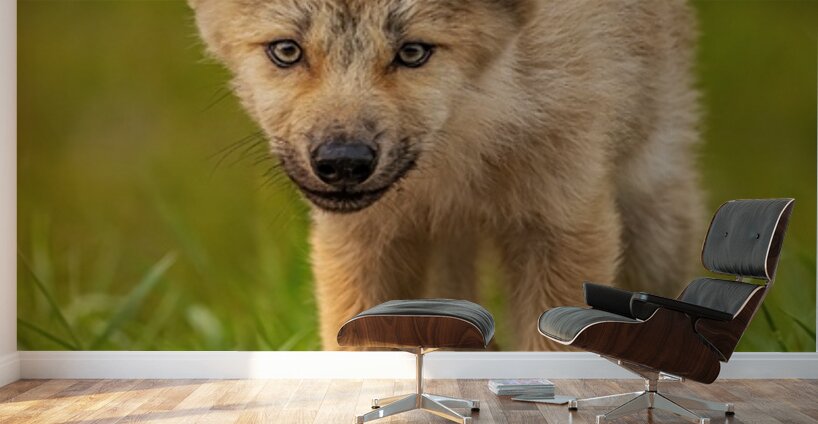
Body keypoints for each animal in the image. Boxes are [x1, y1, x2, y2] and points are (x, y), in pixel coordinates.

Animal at [189, 0, 703, 350]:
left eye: (414, 52)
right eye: (286, 51)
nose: (343, 162)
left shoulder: (564, 225)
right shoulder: (361, 241)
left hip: (653, 215)